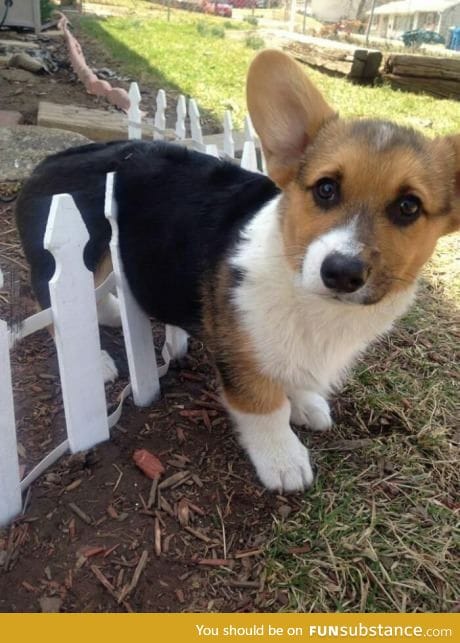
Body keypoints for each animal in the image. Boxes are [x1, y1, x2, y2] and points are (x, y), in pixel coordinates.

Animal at [16, 51, 460, 494]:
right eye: (326, 189)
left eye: (409, 207)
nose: (341, 273)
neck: (308, 296)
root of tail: (46, 163)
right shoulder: (241, 355)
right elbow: (265, 405)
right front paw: (283, 458)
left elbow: (292, 376)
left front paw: (305, 404)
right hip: (80, 259)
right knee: (54, 309)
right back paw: (99, 360)